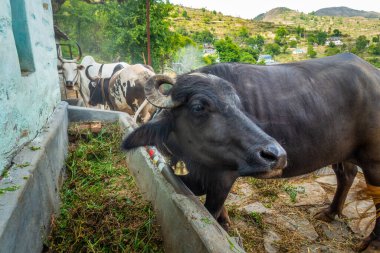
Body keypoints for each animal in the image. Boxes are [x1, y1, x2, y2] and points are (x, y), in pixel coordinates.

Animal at [121, 53, 380, 251]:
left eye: (238, 105)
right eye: (198, 107)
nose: (277, 156)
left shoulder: (223, 178)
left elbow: (211, 209)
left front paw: (222, 225)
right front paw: (226, 222)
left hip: (374, 161)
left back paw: (370, 242)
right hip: (343, 153)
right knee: (346, 175)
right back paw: (331, 212)